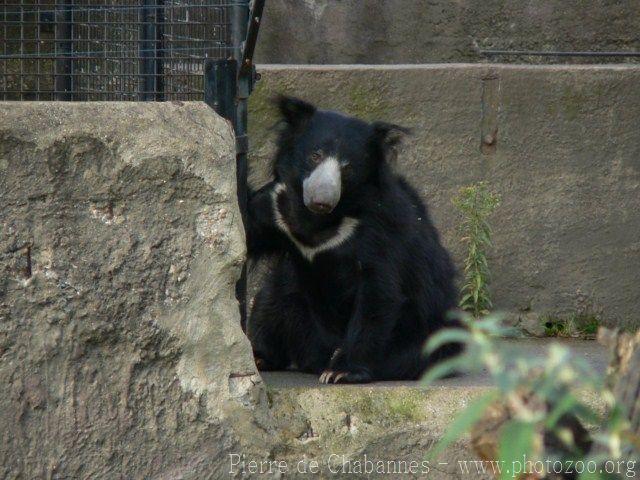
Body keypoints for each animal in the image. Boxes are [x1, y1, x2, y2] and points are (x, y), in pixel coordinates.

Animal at [245, 96, 460, 382]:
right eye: (315, 155)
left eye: (347, 167)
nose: (321, 200)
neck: (319, 221)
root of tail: (313, 357)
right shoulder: (276, 208)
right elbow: (249, 228)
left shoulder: (378, 228)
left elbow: (378, 291)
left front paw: (341, 372)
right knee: (269, 302)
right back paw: (261, 356)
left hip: (427, 335)